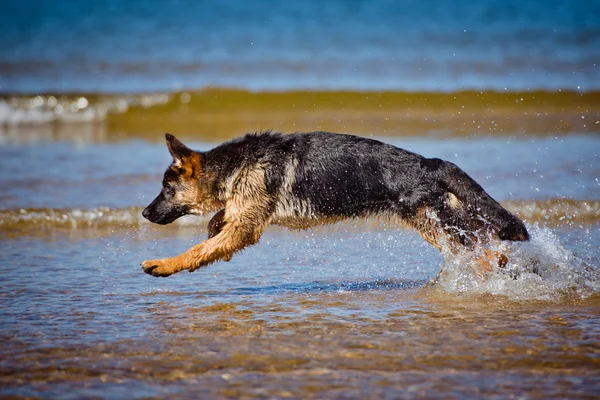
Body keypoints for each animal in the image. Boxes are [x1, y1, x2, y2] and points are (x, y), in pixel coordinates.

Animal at [143, 131, 528, 278]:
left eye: (166, 188)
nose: (145, 213)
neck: (234, 164)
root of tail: (430, 163)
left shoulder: (245, 227)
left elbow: (199, 249)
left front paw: (166, 264)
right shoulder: (245, 216)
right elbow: (217, 227)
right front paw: (213, 228)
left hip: (437, 224)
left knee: (486, 249)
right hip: (443, 222)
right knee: (487, 239)